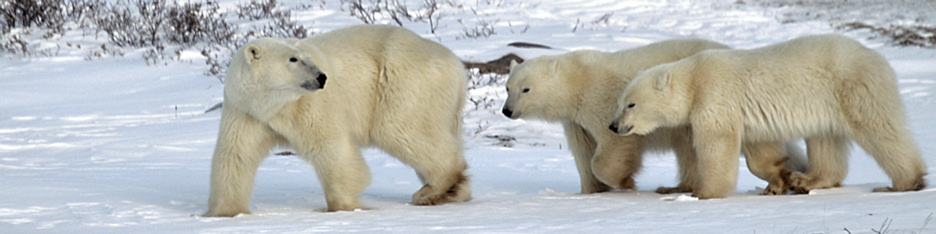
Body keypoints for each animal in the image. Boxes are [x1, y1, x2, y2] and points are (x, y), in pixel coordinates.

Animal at [205, 24, 468, 217]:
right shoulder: (245, 112)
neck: (273, 106)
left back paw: (432, 190)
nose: (322, 77)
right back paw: (453, 191)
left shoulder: (309, 105)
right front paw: (223, 213)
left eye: (306, 57)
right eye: (293, 59)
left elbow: (331, 146)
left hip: (402, 79)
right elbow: (236, 155)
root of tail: (456, 64)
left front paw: (342, 206)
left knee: (400, 129)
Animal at [500, 38, 808, 194]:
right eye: (507, 87)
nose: (507, 110)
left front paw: (624, 182)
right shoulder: (575, 121)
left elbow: (613, 146)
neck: (579, 79)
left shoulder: (601, 100)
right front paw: (591, 190)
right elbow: (583, 151)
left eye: (526, 88)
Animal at [616, 33, 928, 198]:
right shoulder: (746, 116)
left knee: (880, 129)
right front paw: (780, 180)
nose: (613, 126)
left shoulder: (715, 97)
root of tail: (879, 58)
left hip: (852, 87)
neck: (693, 79)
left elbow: (716, 146)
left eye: (630, 104)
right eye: (619, 102)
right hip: (826, 104)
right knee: (824, 140)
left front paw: (701, 193)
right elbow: (760, 150)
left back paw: (903, 183)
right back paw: (808, 181)